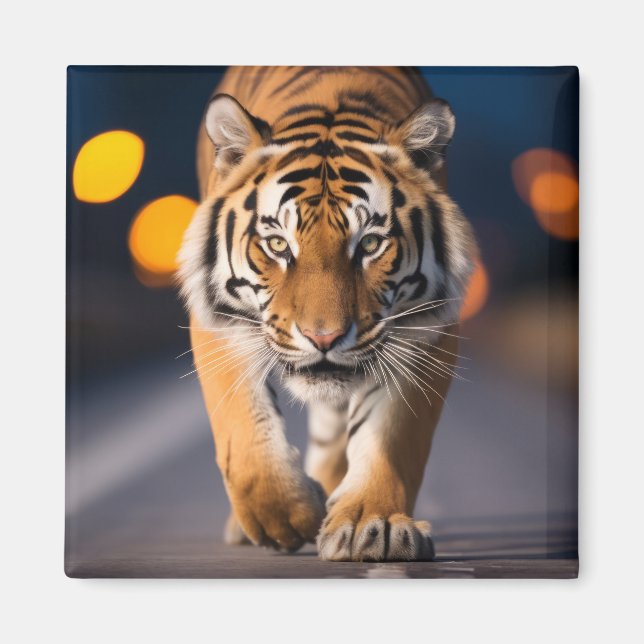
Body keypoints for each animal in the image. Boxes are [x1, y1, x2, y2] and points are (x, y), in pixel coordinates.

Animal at [178, 66, 477, 562]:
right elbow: (242, 429)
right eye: (277, 244)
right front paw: (286, 519)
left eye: (370, 244)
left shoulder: (426, 326)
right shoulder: (218, 315)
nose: (323, 339)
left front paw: (372, 523)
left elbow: (394, 435)